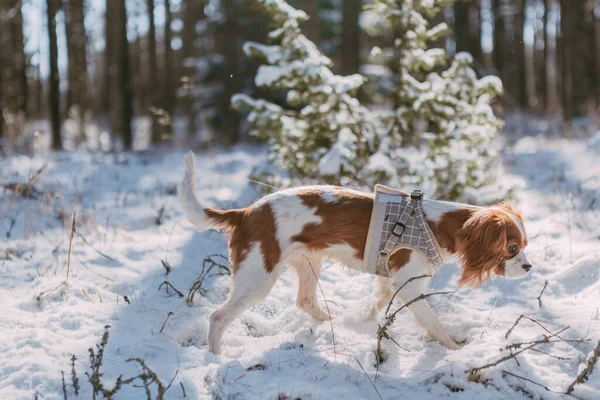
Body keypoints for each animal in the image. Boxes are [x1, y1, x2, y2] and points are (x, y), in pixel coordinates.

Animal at [176, 152, 532, 354]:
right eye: (512, 248)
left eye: (525, 246)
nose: (529, 268)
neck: (436, 225)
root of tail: (246, 212)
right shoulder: (410, 286)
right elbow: (434, 321)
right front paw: (454, 350)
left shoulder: (390, 279)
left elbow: (377, 302)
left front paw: (360, 320)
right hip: (257, 277)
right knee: (217, 318)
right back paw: (215, 358)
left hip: (309, 261)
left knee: (305, 300)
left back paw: (332, 322)